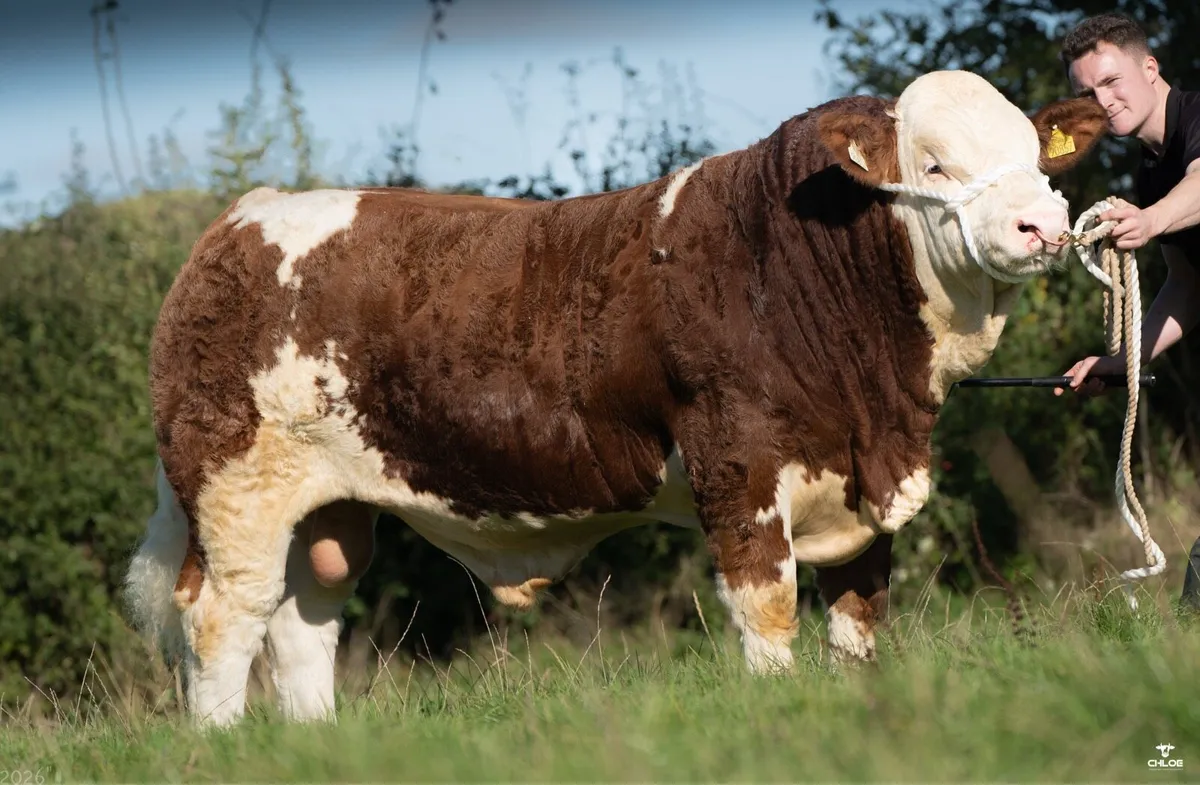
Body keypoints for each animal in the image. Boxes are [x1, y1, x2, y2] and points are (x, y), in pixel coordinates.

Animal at [123, 69, 1106, 727]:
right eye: (934, 165)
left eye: (1034, 154)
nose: (1045, 225)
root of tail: (239, 219)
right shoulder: (736, 467)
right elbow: (769, 609)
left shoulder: (869, 490)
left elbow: (859, 620)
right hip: (234, 487)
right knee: (222, 619)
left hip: (328, 504)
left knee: (303, 619)